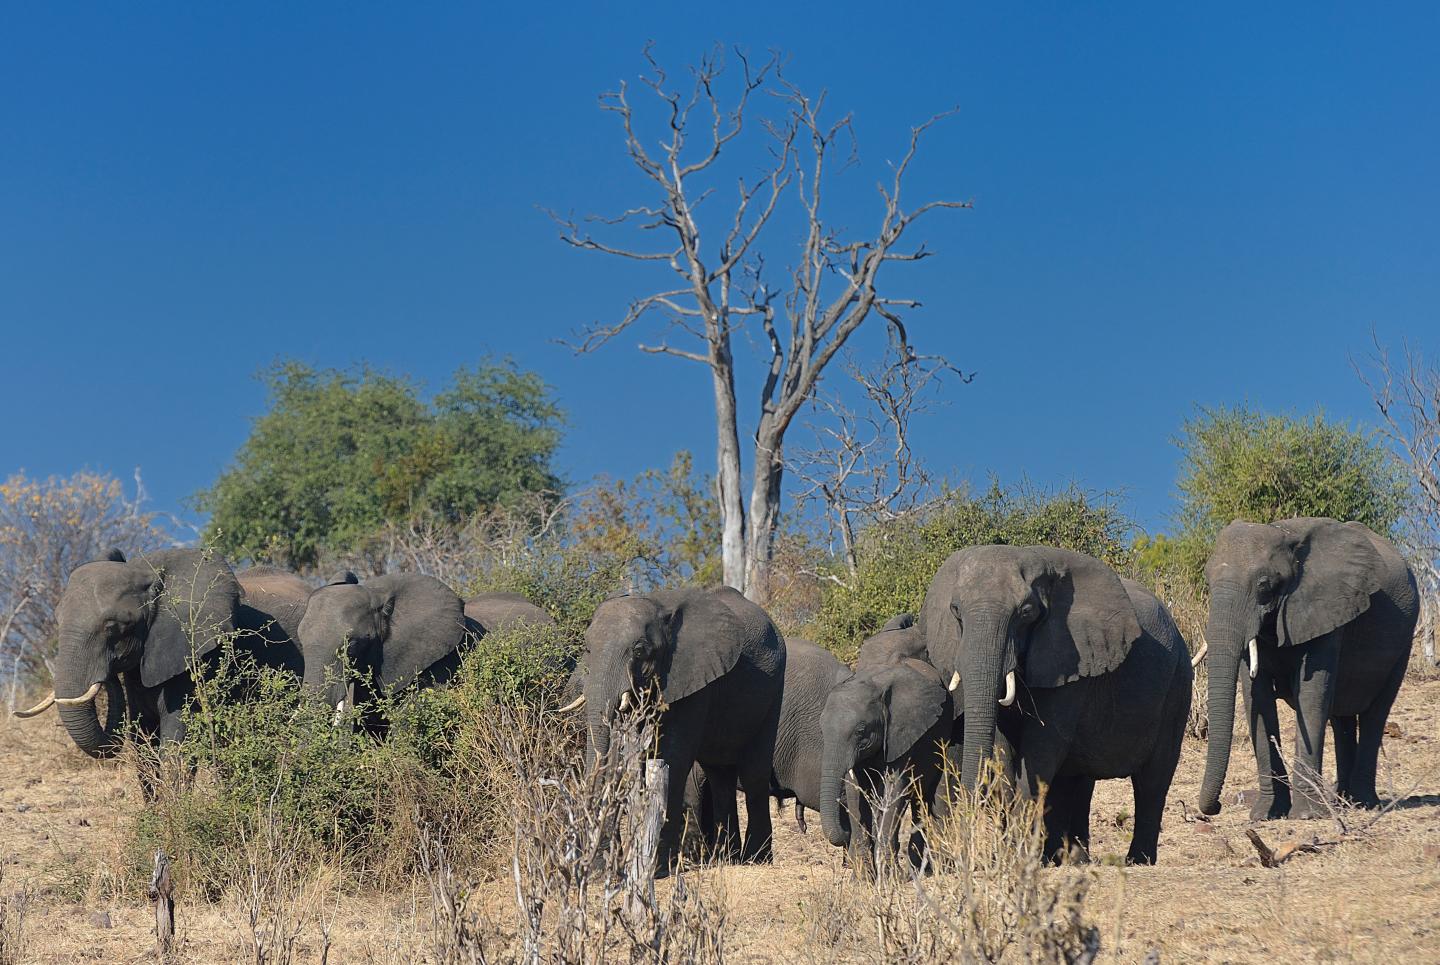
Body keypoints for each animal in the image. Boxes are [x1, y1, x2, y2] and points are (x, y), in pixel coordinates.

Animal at [573, 585, 785, 870]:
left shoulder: (693, 676)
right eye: (587, 648)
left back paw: (755, 859)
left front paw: (657, 867)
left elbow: (673, 756)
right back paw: (726, 858)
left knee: (754, 773)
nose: (598, 861)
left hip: (773, 689)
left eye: (639, 651)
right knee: (720, 775)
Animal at [819, 657, 954, 869]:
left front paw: (888, 873)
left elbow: (895, 788)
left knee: (929, 795)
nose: (845, 832)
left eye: (860, 731)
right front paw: (863, 876)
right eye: (821, 727)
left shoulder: (902, 733)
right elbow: (855, 790)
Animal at [920, 545, 1192, 864]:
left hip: (1178, 685)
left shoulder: (1072, 657)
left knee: (1152, 780)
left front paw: (1018, 858)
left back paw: (1138, 860)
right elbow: (1004, 747)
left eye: (1026, 613)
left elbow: (1043, 745)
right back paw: (1071, 858)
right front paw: (1014, 856)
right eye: (955, 611)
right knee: (1076, 780)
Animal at [1196, 518, 1418, 821]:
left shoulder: (1328, 605)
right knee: (1341, 717)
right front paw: (1266, 814)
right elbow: (1257, 697)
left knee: (1375, 714)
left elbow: (1310, 696)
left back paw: (1363, 803)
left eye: (1264, 584)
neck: (1285, 533)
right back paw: (1342, 801)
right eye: (1208, 581)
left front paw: (1306, 816)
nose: (1215, 808)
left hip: (1403, 641)